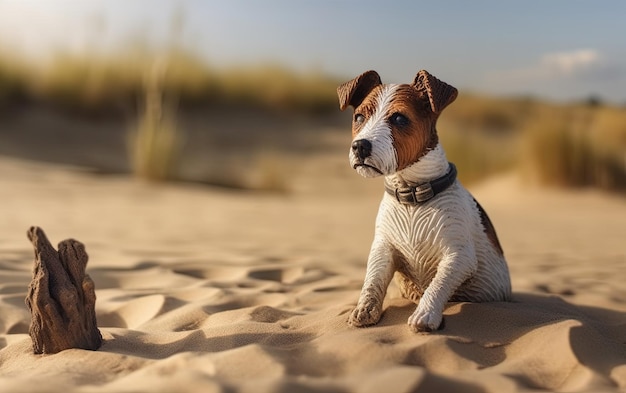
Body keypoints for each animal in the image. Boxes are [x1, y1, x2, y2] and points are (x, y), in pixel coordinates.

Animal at [336, 68, 508, 330]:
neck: (412, 197)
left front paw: (425, 314)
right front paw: (364, 310)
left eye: (399, 118)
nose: (359, 146)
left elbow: (438, 285)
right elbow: (372, 281)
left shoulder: (459, 257)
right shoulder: (382, 249)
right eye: (359, 117)